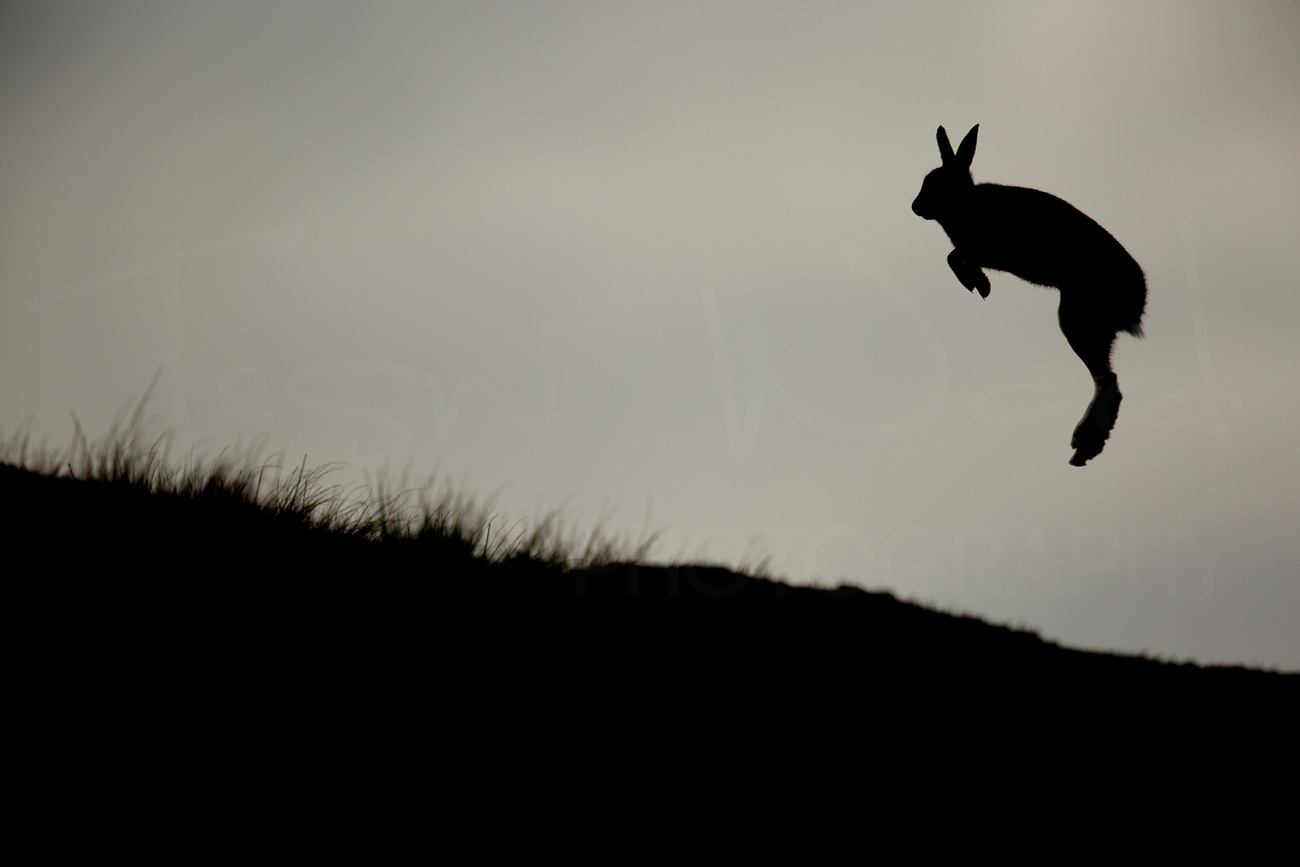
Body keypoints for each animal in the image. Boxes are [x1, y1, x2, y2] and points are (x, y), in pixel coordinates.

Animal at [911, 124, 1146, 466]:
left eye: (937, 183)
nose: (915, 207)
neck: (965, 203)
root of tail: (1136, 303)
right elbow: (954, 257)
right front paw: (979, 285)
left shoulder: (982, 247)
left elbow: (953, 257)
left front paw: (979, 285)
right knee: (1108, 380)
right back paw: (1087, 447)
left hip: (1077, 319)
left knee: (1107, 381)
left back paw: (1085, 443)